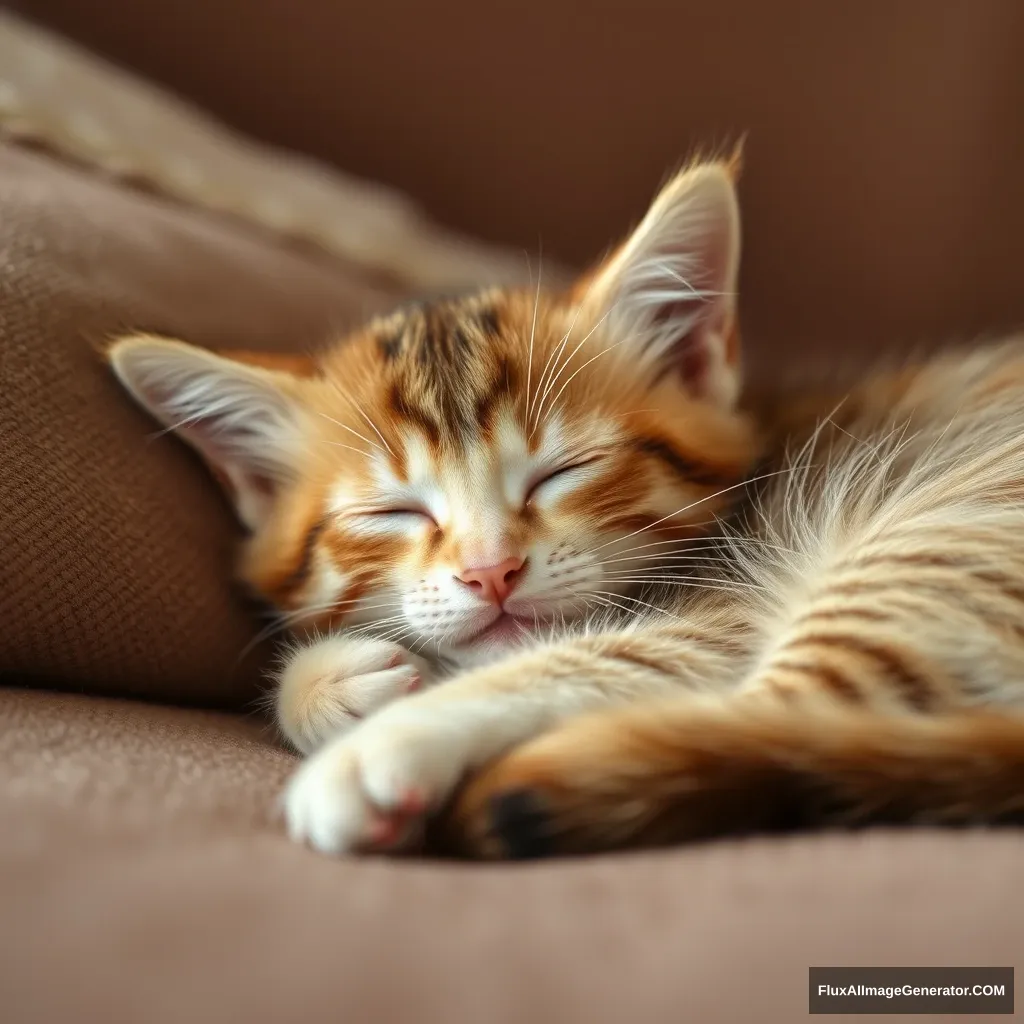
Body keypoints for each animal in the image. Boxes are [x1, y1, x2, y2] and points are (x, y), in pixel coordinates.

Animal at [108, 155, 1024, 860]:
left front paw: (377, 741)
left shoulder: (725, 603)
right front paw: (335, 684)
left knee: (782, 714)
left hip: (943, 525)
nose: (491, 572)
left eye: (562, 471)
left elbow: (593, 656)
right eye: (394, 512)